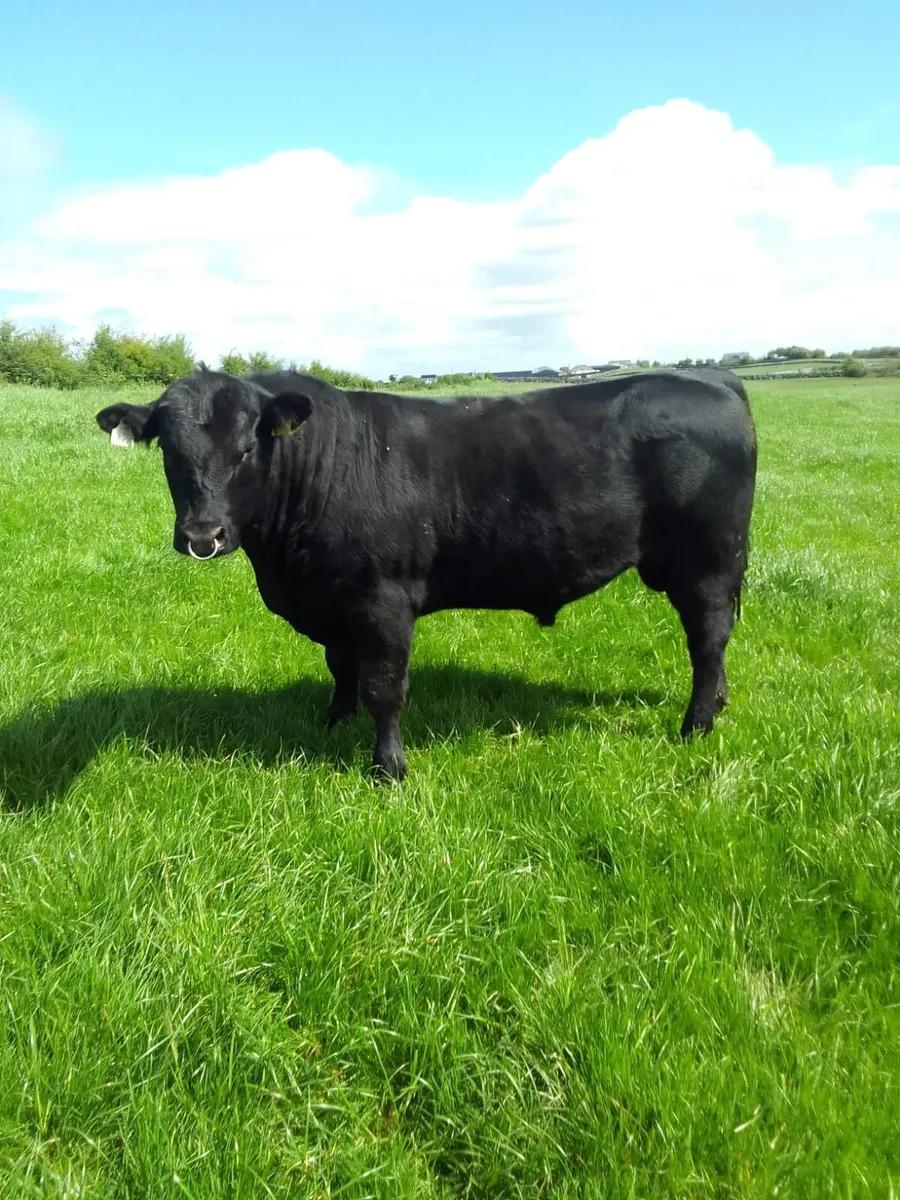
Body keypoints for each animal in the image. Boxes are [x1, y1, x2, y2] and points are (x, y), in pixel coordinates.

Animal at [96, 365, 757, 781]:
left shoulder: (383, 598)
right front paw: (334, 723)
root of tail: (713, 378)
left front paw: (387, 768)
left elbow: (385, 686)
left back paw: (696, 724)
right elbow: (341, 667)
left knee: (708, 639)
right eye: (170, 452)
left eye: (245, 451)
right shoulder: (334, 600)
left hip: (708, 562)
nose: (202, 537)